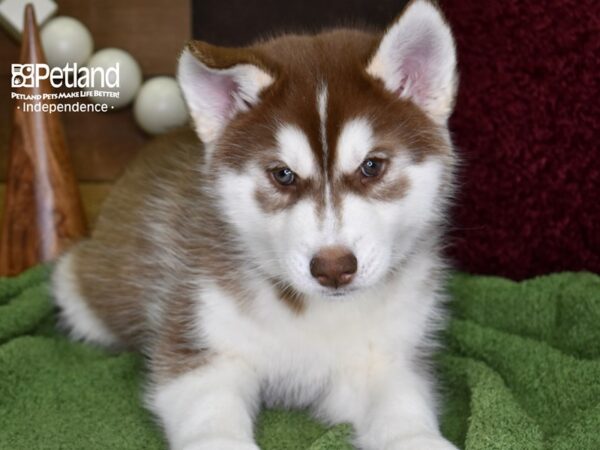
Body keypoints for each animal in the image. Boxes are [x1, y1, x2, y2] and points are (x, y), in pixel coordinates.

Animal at [54, 1, 460, 448]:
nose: (333, 267)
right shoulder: (199, 339)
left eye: (371, 166)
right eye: (283, 174)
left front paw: (418, 436)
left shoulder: (386, 358)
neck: (313, 313)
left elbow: (403, 410)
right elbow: (210, 416)